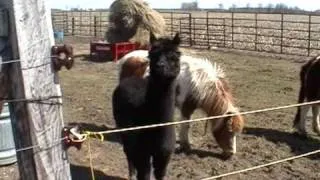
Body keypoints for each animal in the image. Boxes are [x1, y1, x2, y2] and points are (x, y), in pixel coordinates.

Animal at [117, 49, 245, 158]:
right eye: (229, 131)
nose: (231, 153)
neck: (199, 83)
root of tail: (127, 57)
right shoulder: (185, 108)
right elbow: (186, 125)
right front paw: (185, 145)